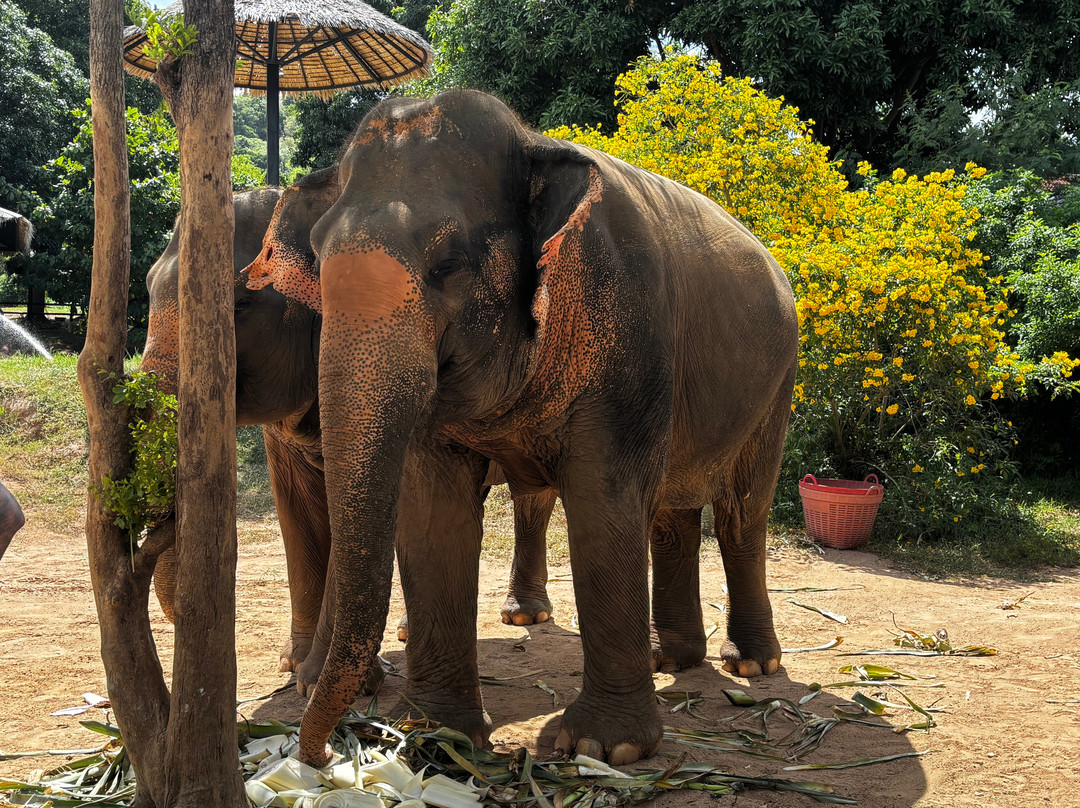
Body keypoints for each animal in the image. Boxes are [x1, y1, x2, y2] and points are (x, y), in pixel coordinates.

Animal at [142, 176, 557, 692]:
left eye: (239, 304)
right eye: (144, 287)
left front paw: (322, 682)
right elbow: (298, 510)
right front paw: (293, 663)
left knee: (533, 495)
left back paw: (524, 617)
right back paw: (411, 631)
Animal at [245, 90, 799, 767]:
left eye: (447, 264)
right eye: (319, 264)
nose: (320, 755)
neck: (530, 140)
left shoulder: (628, 329)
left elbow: (604, 501)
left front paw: (604, 747)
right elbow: (433, 513)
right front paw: (440, 737)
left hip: (778, 380)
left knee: (743, 510)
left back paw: (749, 665)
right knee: (673, 512)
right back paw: (671, 657)